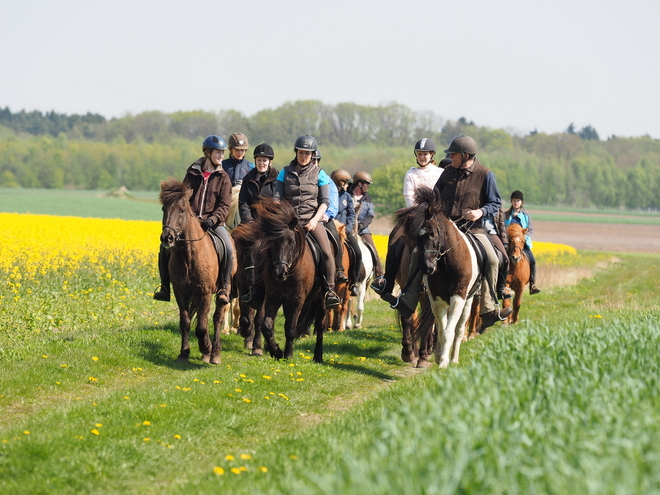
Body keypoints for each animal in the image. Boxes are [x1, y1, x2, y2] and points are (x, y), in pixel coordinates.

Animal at [159, 178, 237, 364]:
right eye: (164, 209)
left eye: (182, 210)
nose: (167, 238)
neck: (188, 255)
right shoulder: (181, 292)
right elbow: (185, 322)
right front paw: (184, 353)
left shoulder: (205, 292)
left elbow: (202, 326)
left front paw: (206, 347)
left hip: (222, 290)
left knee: (217, 317)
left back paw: (214, 353)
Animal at [250, 198, 328, 364]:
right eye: (272, 242)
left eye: (292, 242)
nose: (280, 272)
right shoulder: (274, 297)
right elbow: (267, 325)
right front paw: (276, 351)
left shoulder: (297, 300)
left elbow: (291, 328)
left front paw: (288, 354)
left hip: (321, 299)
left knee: (320, 325)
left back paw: (318, 356)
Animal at [402, 186, 480, 368]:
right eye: (417, 236)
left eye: (432, 233)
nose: (427, 267)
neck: (446, 264)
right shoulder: (436, 298)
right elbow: (440, 329)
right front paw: (439, 357)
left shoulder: (458, 297)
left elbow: (449, 331)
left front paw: (445, 362)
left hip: (468, 300)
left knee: (459, 329)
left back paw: (454, 358)